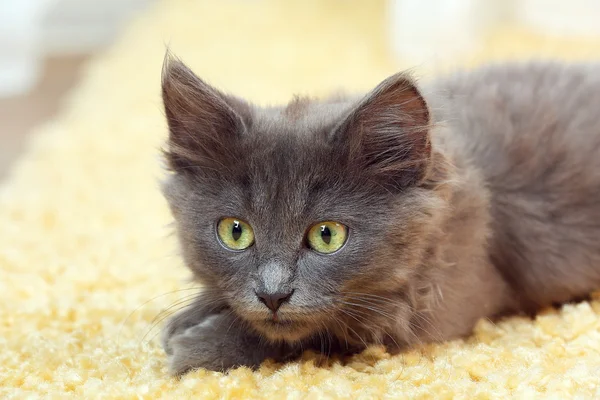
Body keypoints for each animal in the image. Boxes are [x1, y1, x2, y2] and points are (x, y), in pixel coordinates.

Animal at [158, 56, 600, 376]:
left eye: (327, 235)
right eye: (235, 232)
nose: (272, 295)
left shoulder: (439, 307)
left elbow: (317, 333)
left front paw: (196, 345)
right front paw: (189, 316)